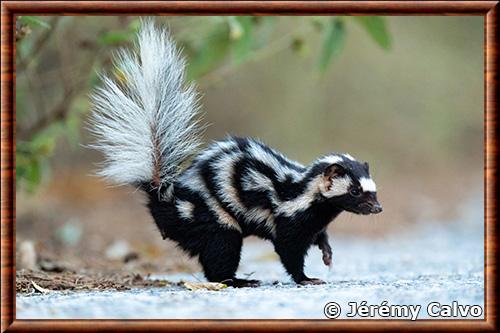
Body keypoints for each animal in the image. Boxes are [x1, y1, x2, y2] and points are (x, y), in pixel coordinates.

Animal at [89, 22, 382, 286]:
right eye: (355, 191)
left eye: (373, 190)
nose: (377, 208)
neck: (304, 192)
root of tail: (166, 195)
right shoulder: (287, 217)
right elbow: (288, 249)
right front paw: (306, 278)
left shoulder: (313, 217)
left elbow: (318, 234)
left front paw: (327, 252)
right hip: (213, 215)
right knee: (221, 248)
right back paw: (236, 280)